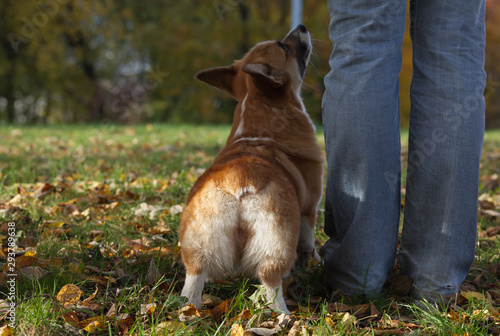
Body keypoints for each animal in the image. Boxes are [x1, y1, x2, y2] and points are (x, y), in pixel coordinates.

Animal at [178, 24, 322, 316]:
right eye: (284, 47)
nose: (301, 27)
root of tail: (238, 180)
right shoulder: (309, 208)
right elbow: (310, 243)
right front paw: (315, 262)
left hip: (200, 243)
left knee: (193, 283)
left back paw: (188, 315)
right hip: (276, 242)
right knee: (271, 281)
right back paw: (283, 317)